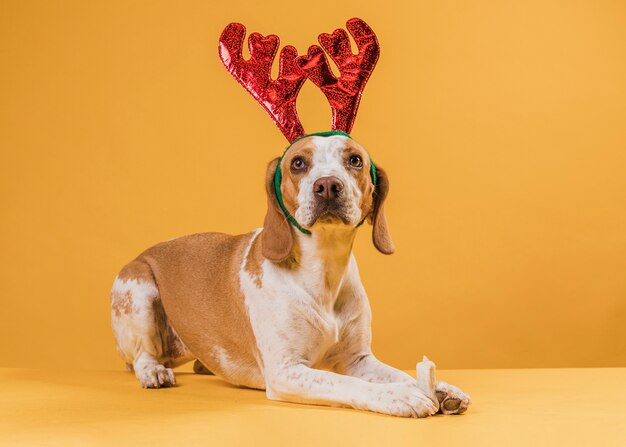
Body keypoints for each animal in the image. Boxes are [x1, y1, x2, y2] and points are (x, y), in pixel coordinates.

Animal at [109, 135, 468, 418]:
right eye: (298, 163)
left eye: (354, 160)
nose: (327, 185)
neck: (324, 271)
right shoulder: (287, 370)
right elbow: (345, 382)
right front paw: (399, 395)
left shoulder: (359, 359)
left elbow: (401, 373)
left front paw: (440, 388)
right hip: (139, 289)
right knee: (141, 356)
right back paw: (153, 371)